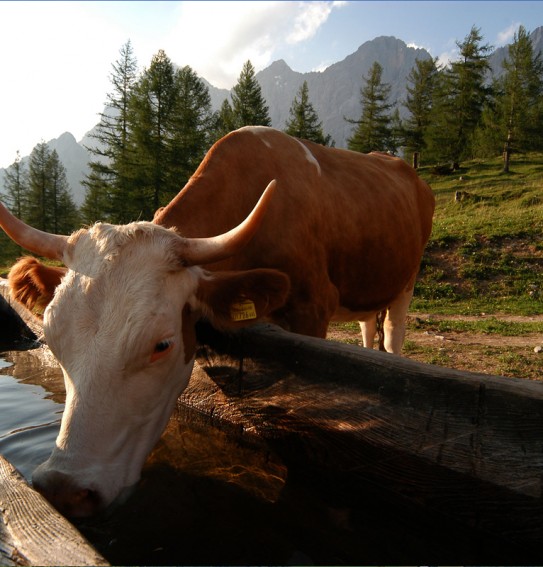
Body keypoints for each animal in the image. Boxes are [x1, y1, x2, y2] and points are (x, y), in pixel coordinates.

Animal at [0, 126, 434, 516]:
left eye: (162, 345)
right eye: (53, 338)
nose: (65, 488)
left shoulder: (312, 309)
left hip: (406, 281)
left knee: (392, 335)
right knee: (367, 328)